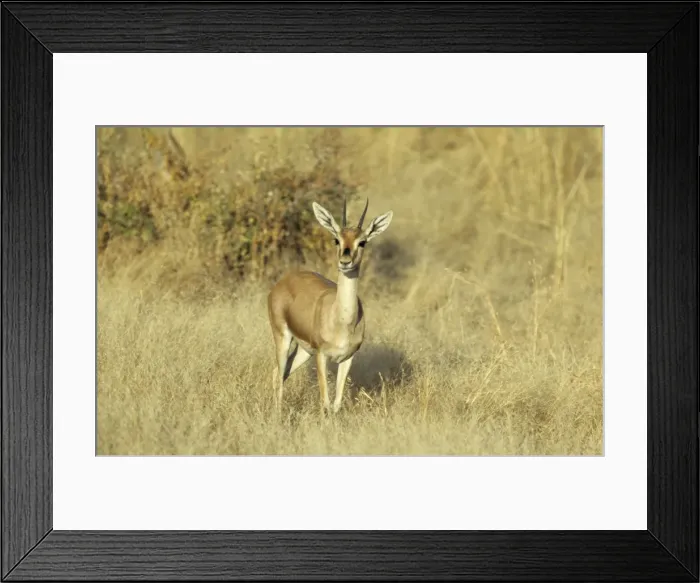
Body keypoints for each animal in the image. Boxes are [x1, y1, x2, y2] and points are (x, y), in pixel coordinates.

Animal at [267, 198, 393, 413]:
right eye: (336, 239)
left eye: (362, 241)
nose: (345, 261)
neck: (341, 320)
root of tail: (282, 282)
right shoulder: (322, 356)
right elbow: (325, 402)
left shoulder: (347, 358)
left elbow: (336, 403)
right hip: (283, 338)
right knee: (279, 374)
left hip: (304, 351)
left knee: (280, 373)